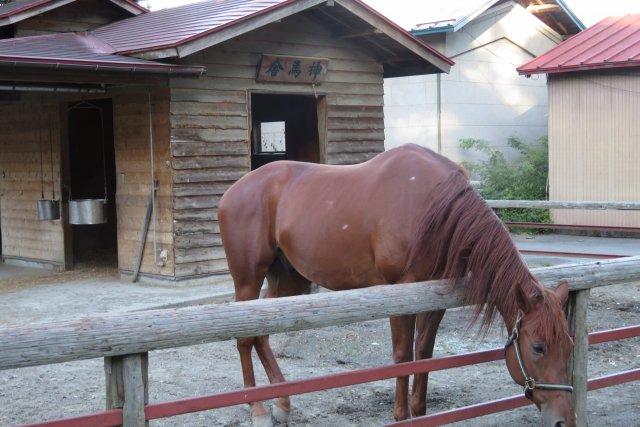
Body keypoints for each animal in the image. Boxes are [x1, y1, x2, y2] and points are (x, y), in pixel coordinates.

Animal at [219, 145, 576, 427]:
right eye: (538, 347)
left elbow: (425, 353)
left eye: (570, 345)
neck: (435, 206)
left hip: (289, 280)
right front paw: (401, 416)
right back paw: (258, 410)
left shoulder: (433, 297)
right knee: (244, 340)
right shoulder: (398, 293)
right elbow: (404, 357)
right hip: (248, 279)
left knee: (261, 335)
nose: (564, 420)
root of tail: (232, 192)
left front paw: (421, 413)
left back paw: (281, 404)